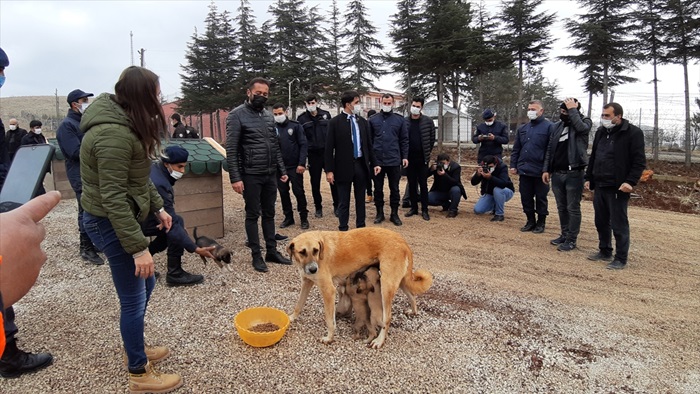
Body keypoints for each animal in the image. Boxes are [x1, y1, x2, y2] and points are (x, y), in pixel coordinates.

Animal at [286, 226, 432, 350]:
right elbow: (299, 305)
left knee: (388, 318)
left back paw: (379, 341)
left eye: (315, 251)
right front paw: (291, 318)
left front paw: (329, 338)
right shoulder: (306, 282)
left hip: (386, 286)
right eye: (302, 252)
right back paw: (413, 311)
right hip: (400, 281)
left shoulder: (328, 290)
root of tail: (402, 241)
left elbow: (329, 320)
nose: (313, 269)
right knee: (412, 295)